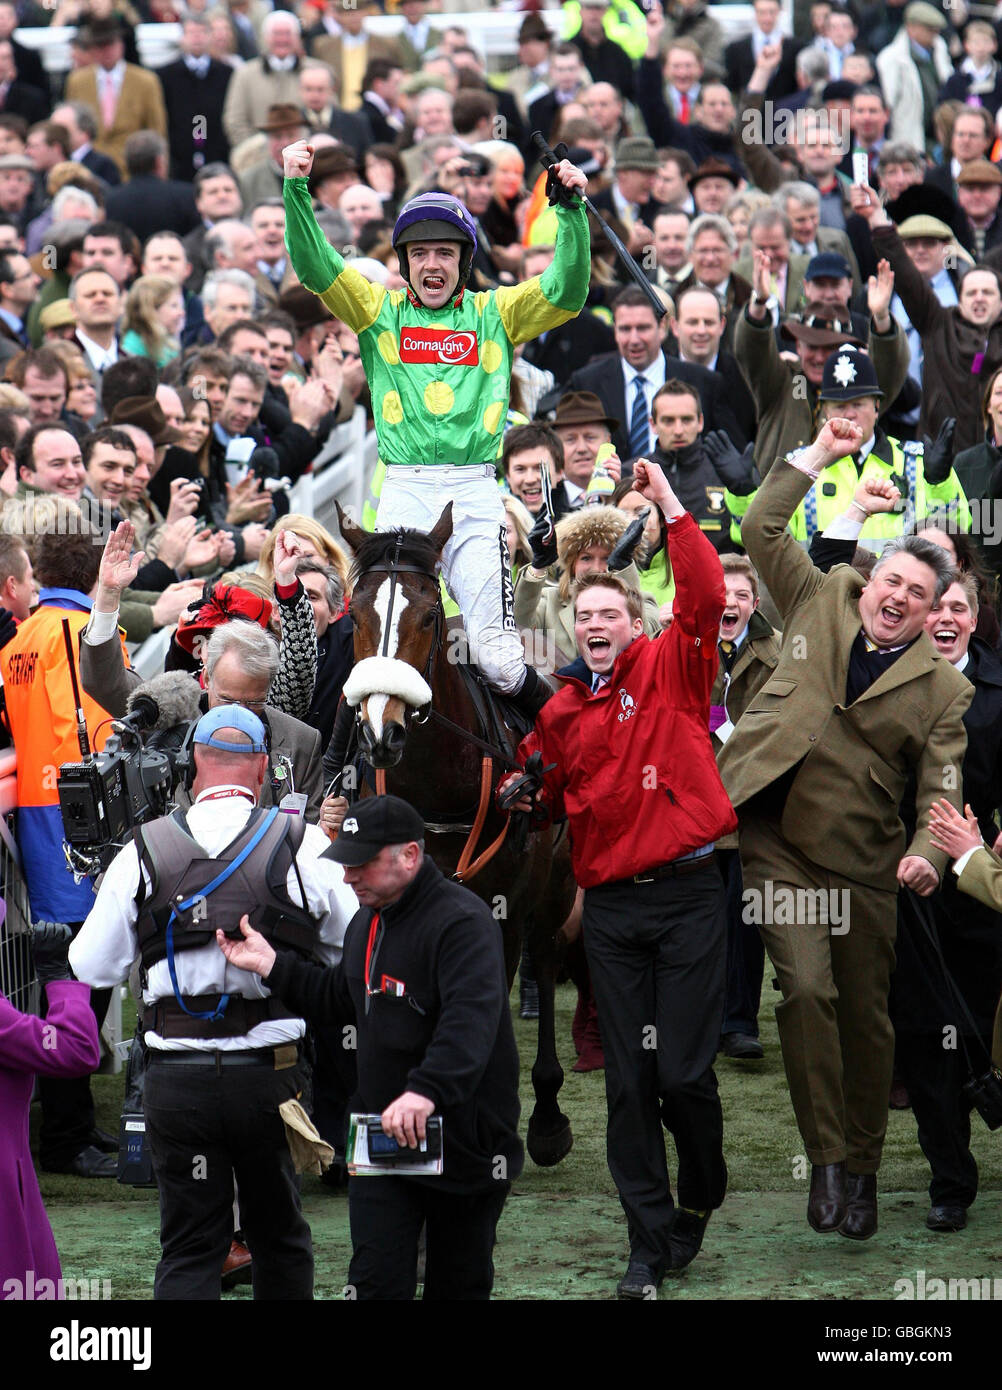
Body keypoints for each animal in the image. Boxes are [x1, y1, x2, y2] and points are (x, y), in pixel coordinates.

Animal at [333, 505, 575, 1167]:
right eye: (354, 614)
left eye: (428, 617)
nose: (382, 732)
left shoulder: (498, 904)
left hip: (556, 882)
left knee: (546, 955)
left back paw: (547, 1115)